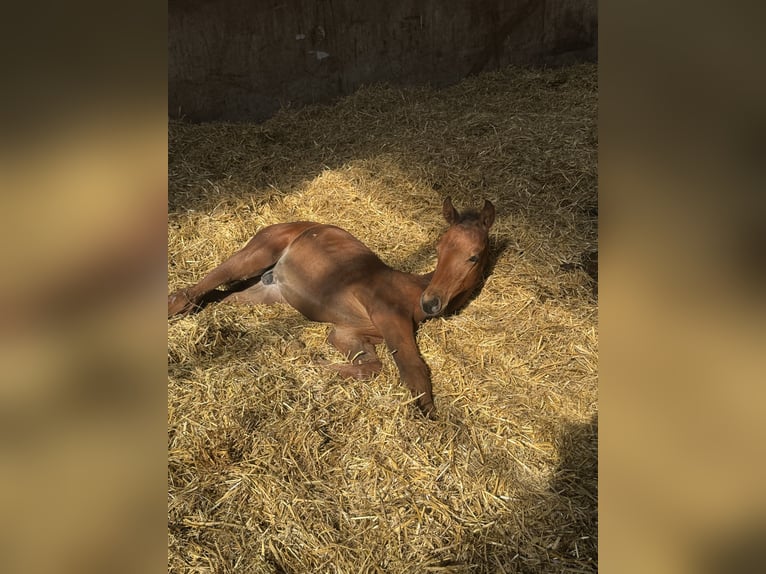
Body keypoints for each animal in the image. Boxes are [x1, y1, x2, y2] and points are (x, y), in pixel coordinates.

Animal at [168, 197, 495, 417]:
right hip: (257, 253)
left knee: (219, 297)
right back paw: (174, 307)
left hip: (266, 292)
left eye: (474, 256)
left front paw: (301, 351)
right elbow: (413, 370)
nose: (430, 302)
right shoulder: (389, 318)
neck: (411, 290)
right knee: (203, 284)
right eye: (438, 248)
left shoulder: (346, 332)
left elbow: (370, 367)